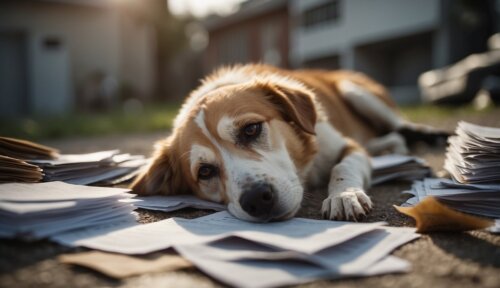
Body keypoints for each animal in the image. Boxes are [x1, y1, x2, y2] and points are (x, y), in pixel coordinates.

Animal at [131, 64, 448, 223]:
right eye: (205, 172)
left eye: (251, 129)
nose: (256, 199)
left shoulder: (346, 146)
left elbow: (343, 166)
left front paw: (344, 195)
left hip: (357, 92)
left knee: (401, 128)